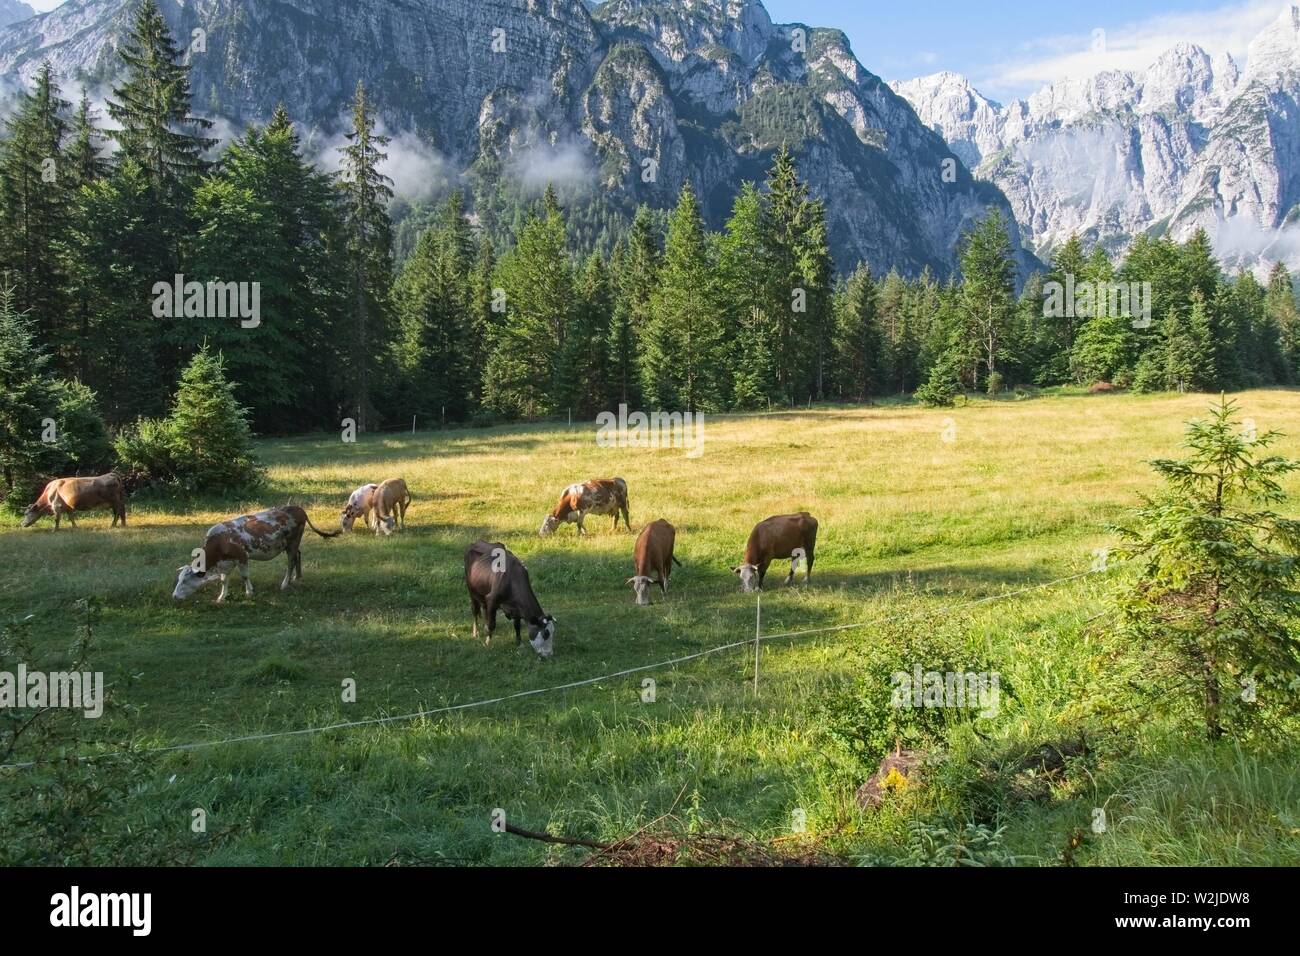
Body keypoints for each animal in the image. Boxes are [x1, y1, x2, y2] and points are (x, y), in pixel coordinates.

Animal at [172, 504, 340, 600]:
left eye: (185, 580)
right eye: (179, 579)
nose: (174, 596)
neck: (219, 541)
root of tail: (299, 509)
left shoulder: (242, 557)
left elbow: (245, 576)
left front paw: (249, 592)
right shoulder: (225, 563)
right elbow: (224, 580)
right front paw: (221, 597)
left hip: (293, 541)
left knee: (291, 561)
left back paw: (285, 583)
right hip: (290, 544)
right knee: (298, 555)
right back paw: (297, 577)